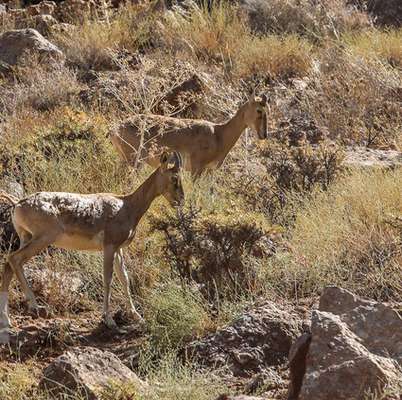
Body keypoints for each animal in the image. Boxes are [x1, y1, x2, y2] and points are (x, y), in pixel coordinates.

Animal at [0, 151, 184, 332]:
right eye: (174, 178)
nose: (181, 200)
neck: (127, 205)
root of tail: (18, 204)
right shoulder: (109, 247)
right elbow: (108, 279)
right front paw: (109, 320)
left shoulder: (118, 249)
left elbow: (124, 278)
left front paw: (138, 317)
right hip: (42, 239)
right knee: (14, 259)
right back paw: (33, 306)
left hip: (26, 237)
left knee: (10, 265)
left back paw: (7, 320)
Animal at [108, 94, 268, 177]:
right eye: (259, 110)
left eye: (268, 110)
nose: (263, 135)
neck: (218, 134)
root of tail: (115, 129)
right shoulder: (197, 169)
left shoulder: (208, 173)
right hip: (134, 161)